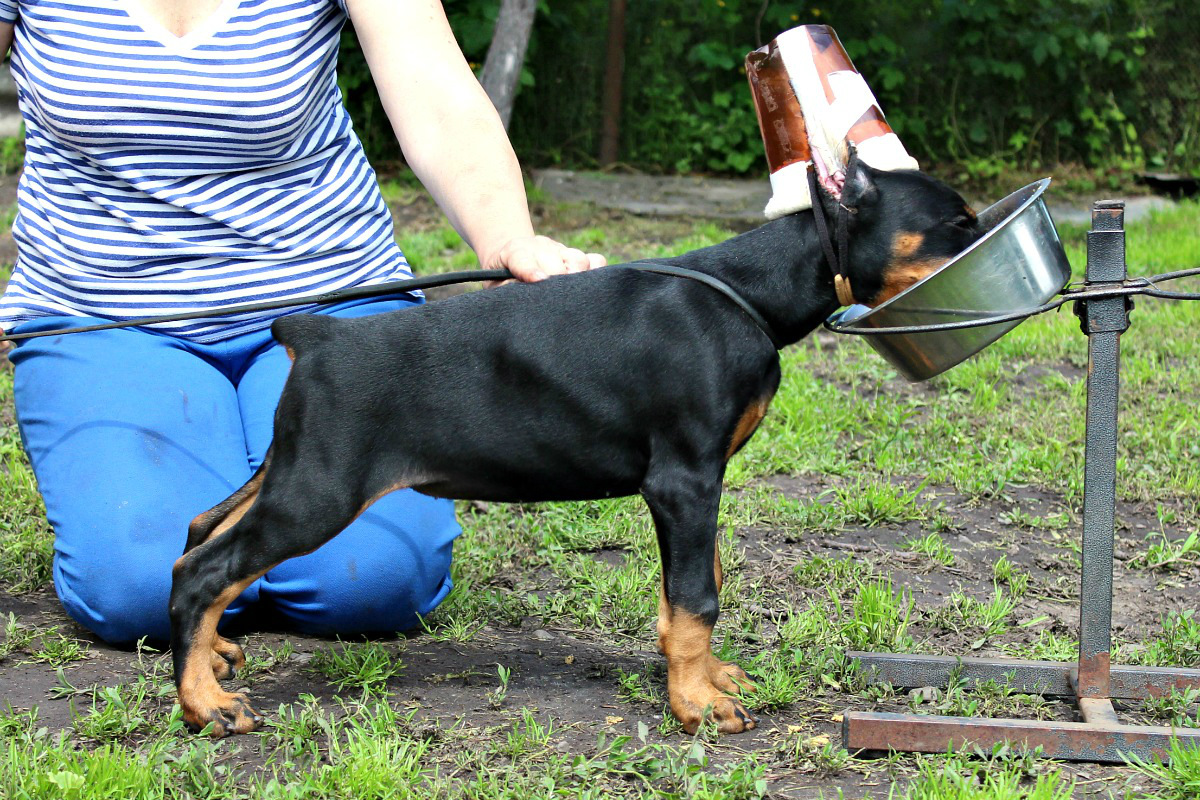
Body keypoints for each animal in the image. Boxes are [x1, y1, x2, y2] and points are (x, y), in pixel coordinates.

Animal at [169, 160, 979, 738]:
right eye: (958, 221)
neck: (743, 292)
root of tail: (312, 332)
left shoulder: (695, 485)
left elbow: (693, 586)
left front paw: (708, 678)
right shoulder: (685, 479)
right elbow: (699, 597)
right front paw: (696, 706)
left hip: (291, 467)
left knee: (198, 534)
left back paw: (211, 661)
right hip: (320, 491)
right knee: (204, 571)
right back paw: (205, 703)